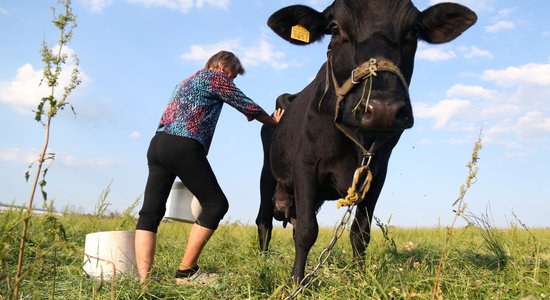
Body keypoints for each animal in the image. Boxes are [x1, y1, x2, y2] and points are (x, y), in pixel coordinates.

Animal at [258, 0, 478, 282]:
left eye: (413, 30)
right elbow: (307, 231)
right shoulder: (305, 167)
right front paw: (296, 281)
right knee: (264, 222)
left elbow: (360, 231)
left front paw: (359, 278)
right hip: (267, 175)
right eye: (335, 28)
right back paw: (262, 264)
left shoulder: (377, 173)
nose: (383, 108)